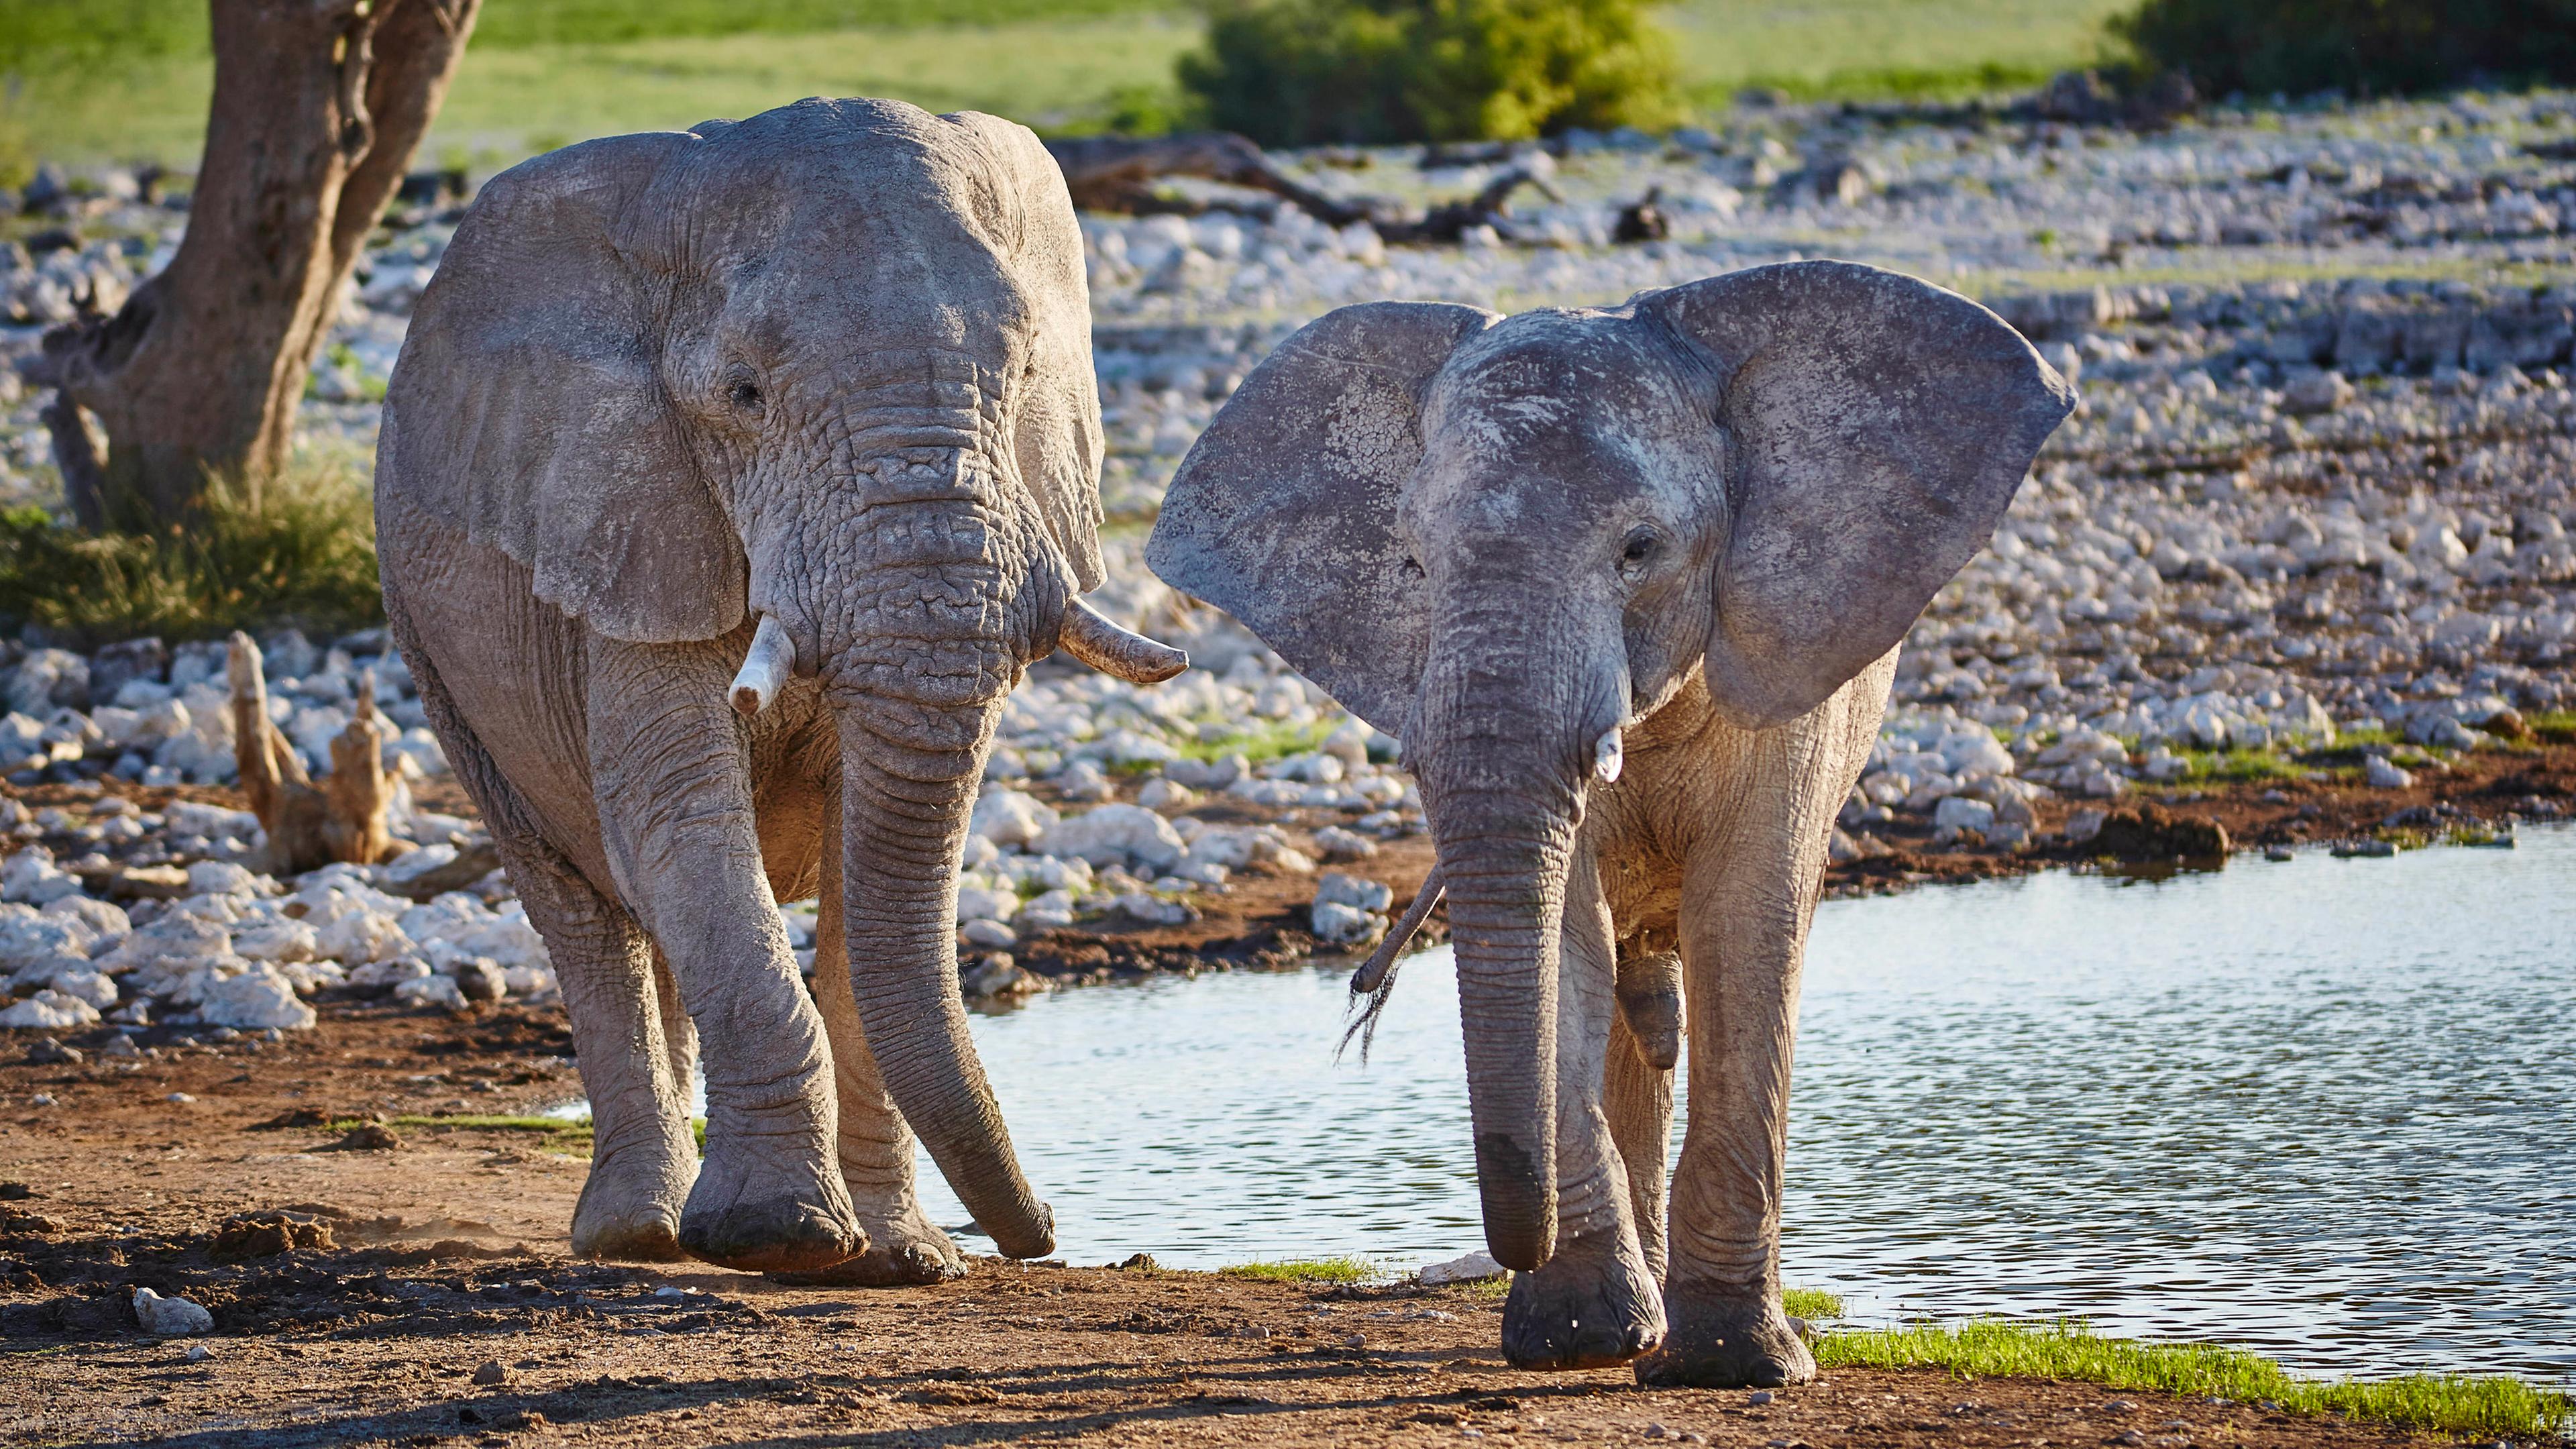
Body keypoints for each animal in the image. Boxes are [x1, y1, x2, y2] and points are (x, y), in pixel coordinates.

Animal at [376, 99, 1179, 1273]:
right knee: (580, 906)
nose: (1042, 1235)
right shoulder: (631, 520)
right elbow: (680, 815)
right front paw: (780, 1239)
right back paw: (634, 1236)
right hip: (434, 653)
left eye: (1027, 372)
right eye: (743, 396)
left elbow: (878, 853)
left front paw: (898, 1262)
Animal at [1148, 265, 2071, 1382]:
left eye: (1641, 550)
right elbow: (1567, 937)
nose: (1512, 1241)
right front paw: (1577, 1337)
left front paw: (1734, 1364)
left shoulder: (1790, 666)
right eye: (1414, 565)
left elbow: (1749, 916)